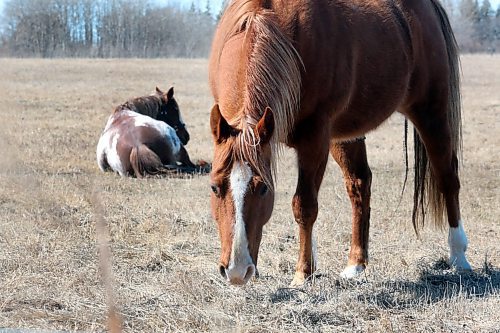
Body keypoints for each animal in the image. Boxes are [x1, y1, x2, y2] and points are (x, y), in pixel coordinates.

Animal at [205, 0, 470, 286]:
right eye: (214, 187)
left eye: (264, 188)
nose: (236, 271)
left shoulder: (314, 140)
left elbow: (304, 205)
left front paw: (303, 273)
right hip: (346, 135)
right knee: (360, 185)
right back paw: (356, 264)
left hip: (431, 113)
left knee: (448, 179)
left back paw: (459, 257)